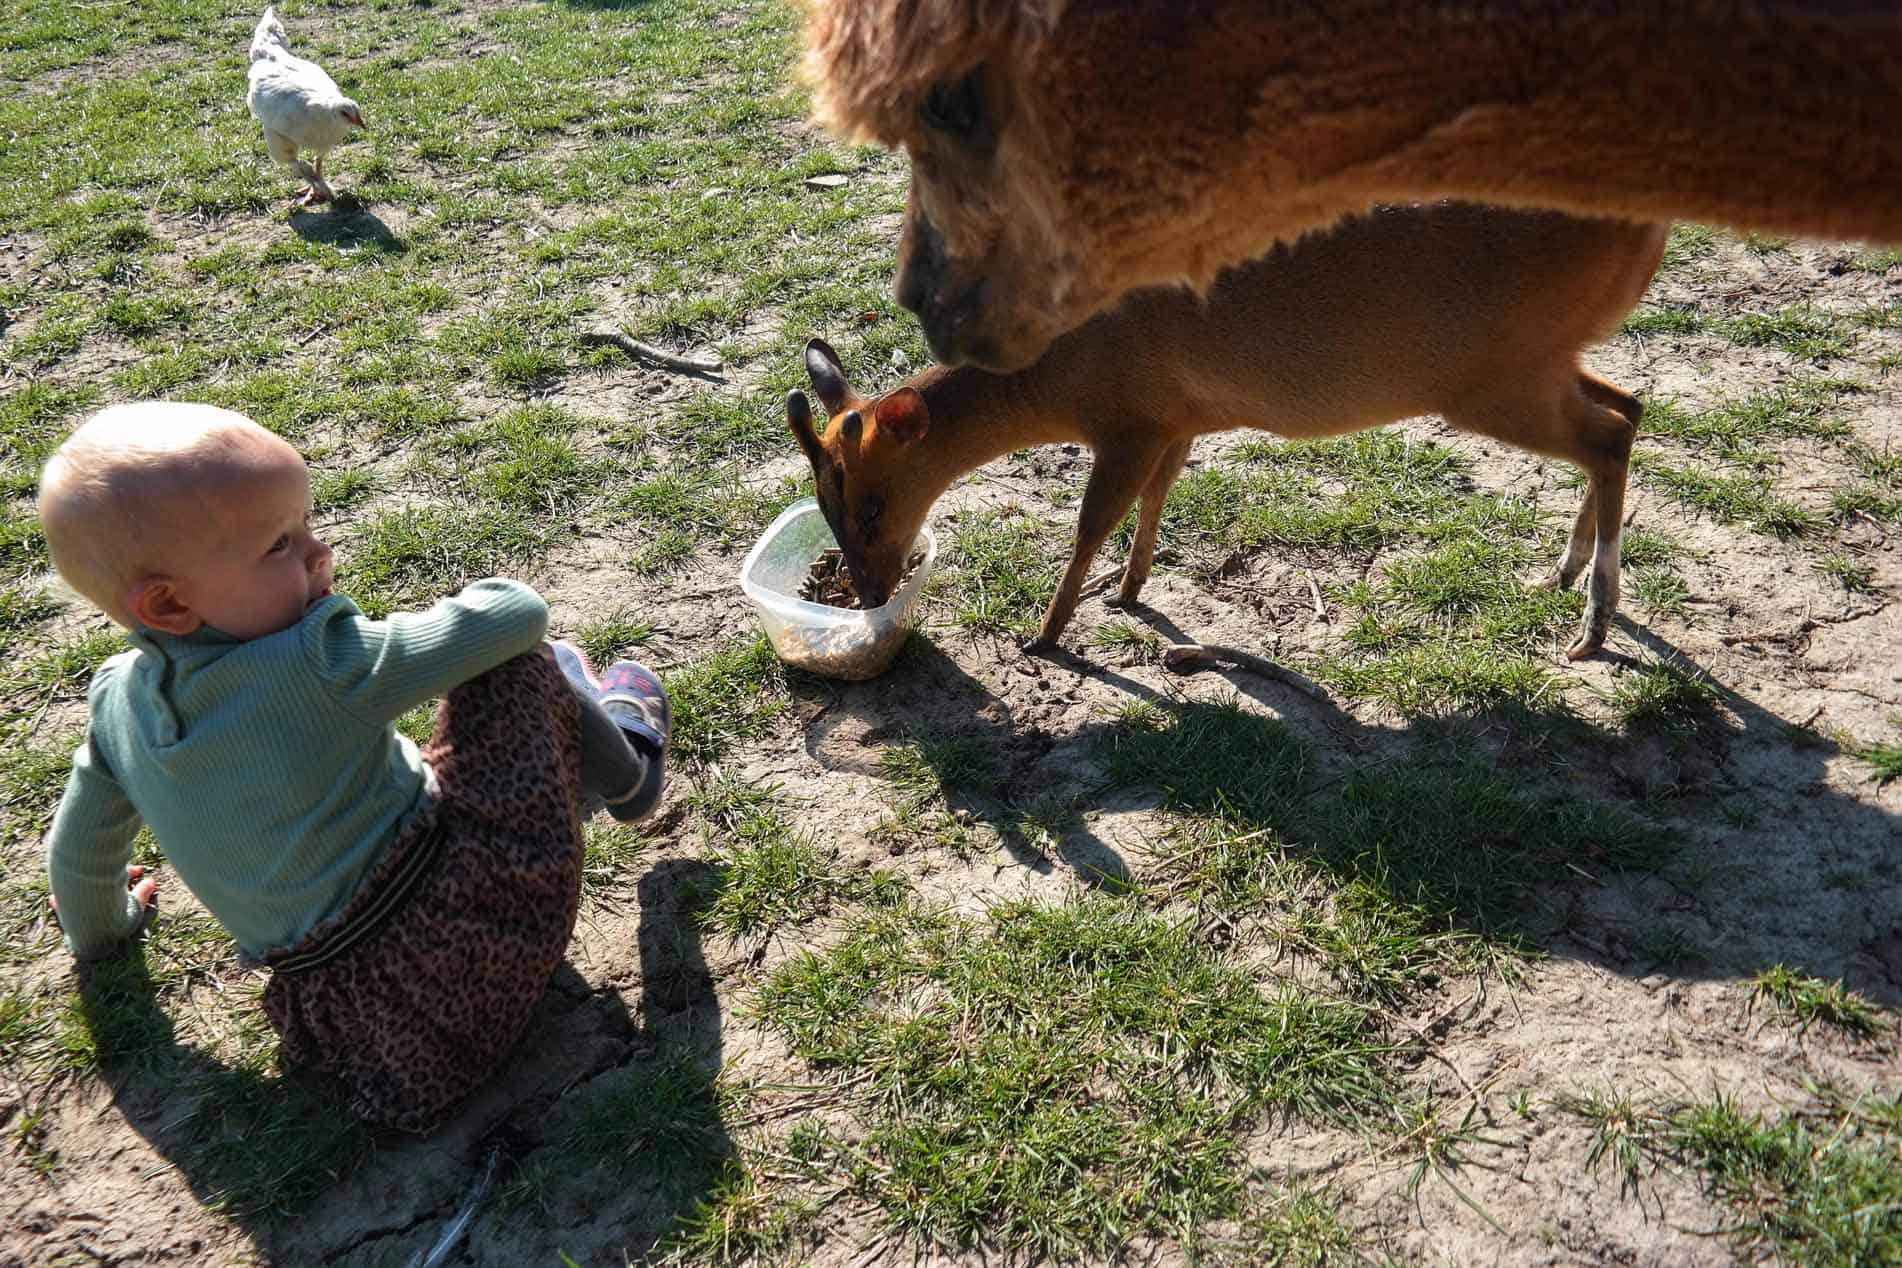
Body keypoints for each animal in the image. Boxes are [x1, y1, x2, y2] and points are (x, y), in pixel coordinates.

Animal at [787, 202, 1666, 661]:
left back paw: (1593, 626)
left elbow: (1091, 522)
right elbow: (1154, 503)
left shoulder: (1129, 417)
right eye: (824, 507)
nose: (868, 593)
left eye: (871, 505)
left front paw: (1046, 635)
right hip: (1540, 361)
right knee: (1628, 405)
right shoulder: (1177, 416)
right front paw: (1130, 590)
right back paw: (1563, 573)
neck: (1058, 373)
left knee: (1607, 436)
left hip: (1489, 376)